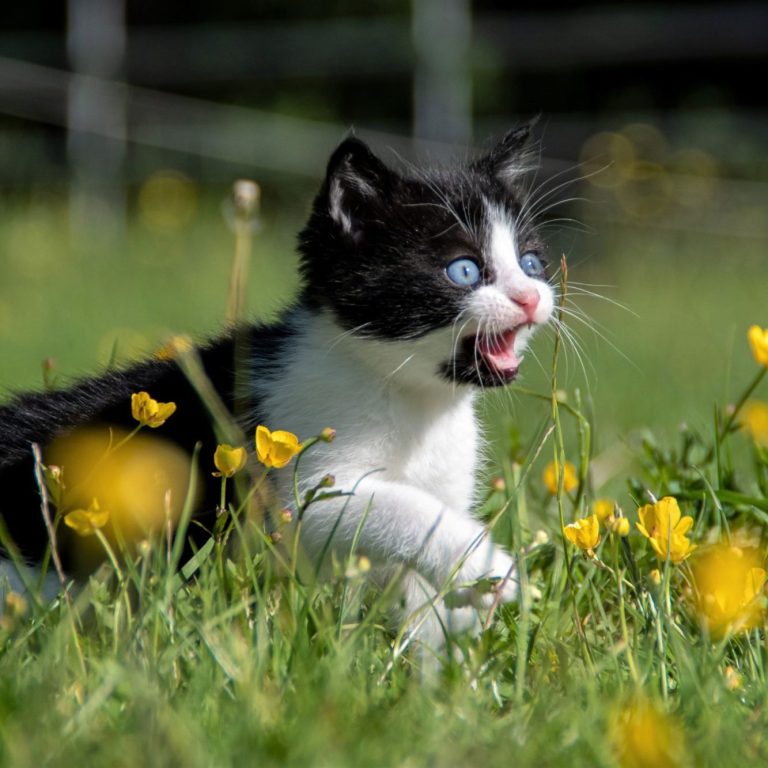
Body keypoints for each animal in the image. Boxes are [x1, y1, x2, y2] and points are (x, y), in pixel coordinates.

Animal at [0, 129, 552, 644]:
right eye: (464, 270)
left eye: (531, 263)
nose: (530, 298)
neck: (413, 399)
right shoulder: (296, 483)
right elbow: (389, 507)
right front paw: (489, 567)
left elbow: (423, 594)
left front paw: (443, 661)